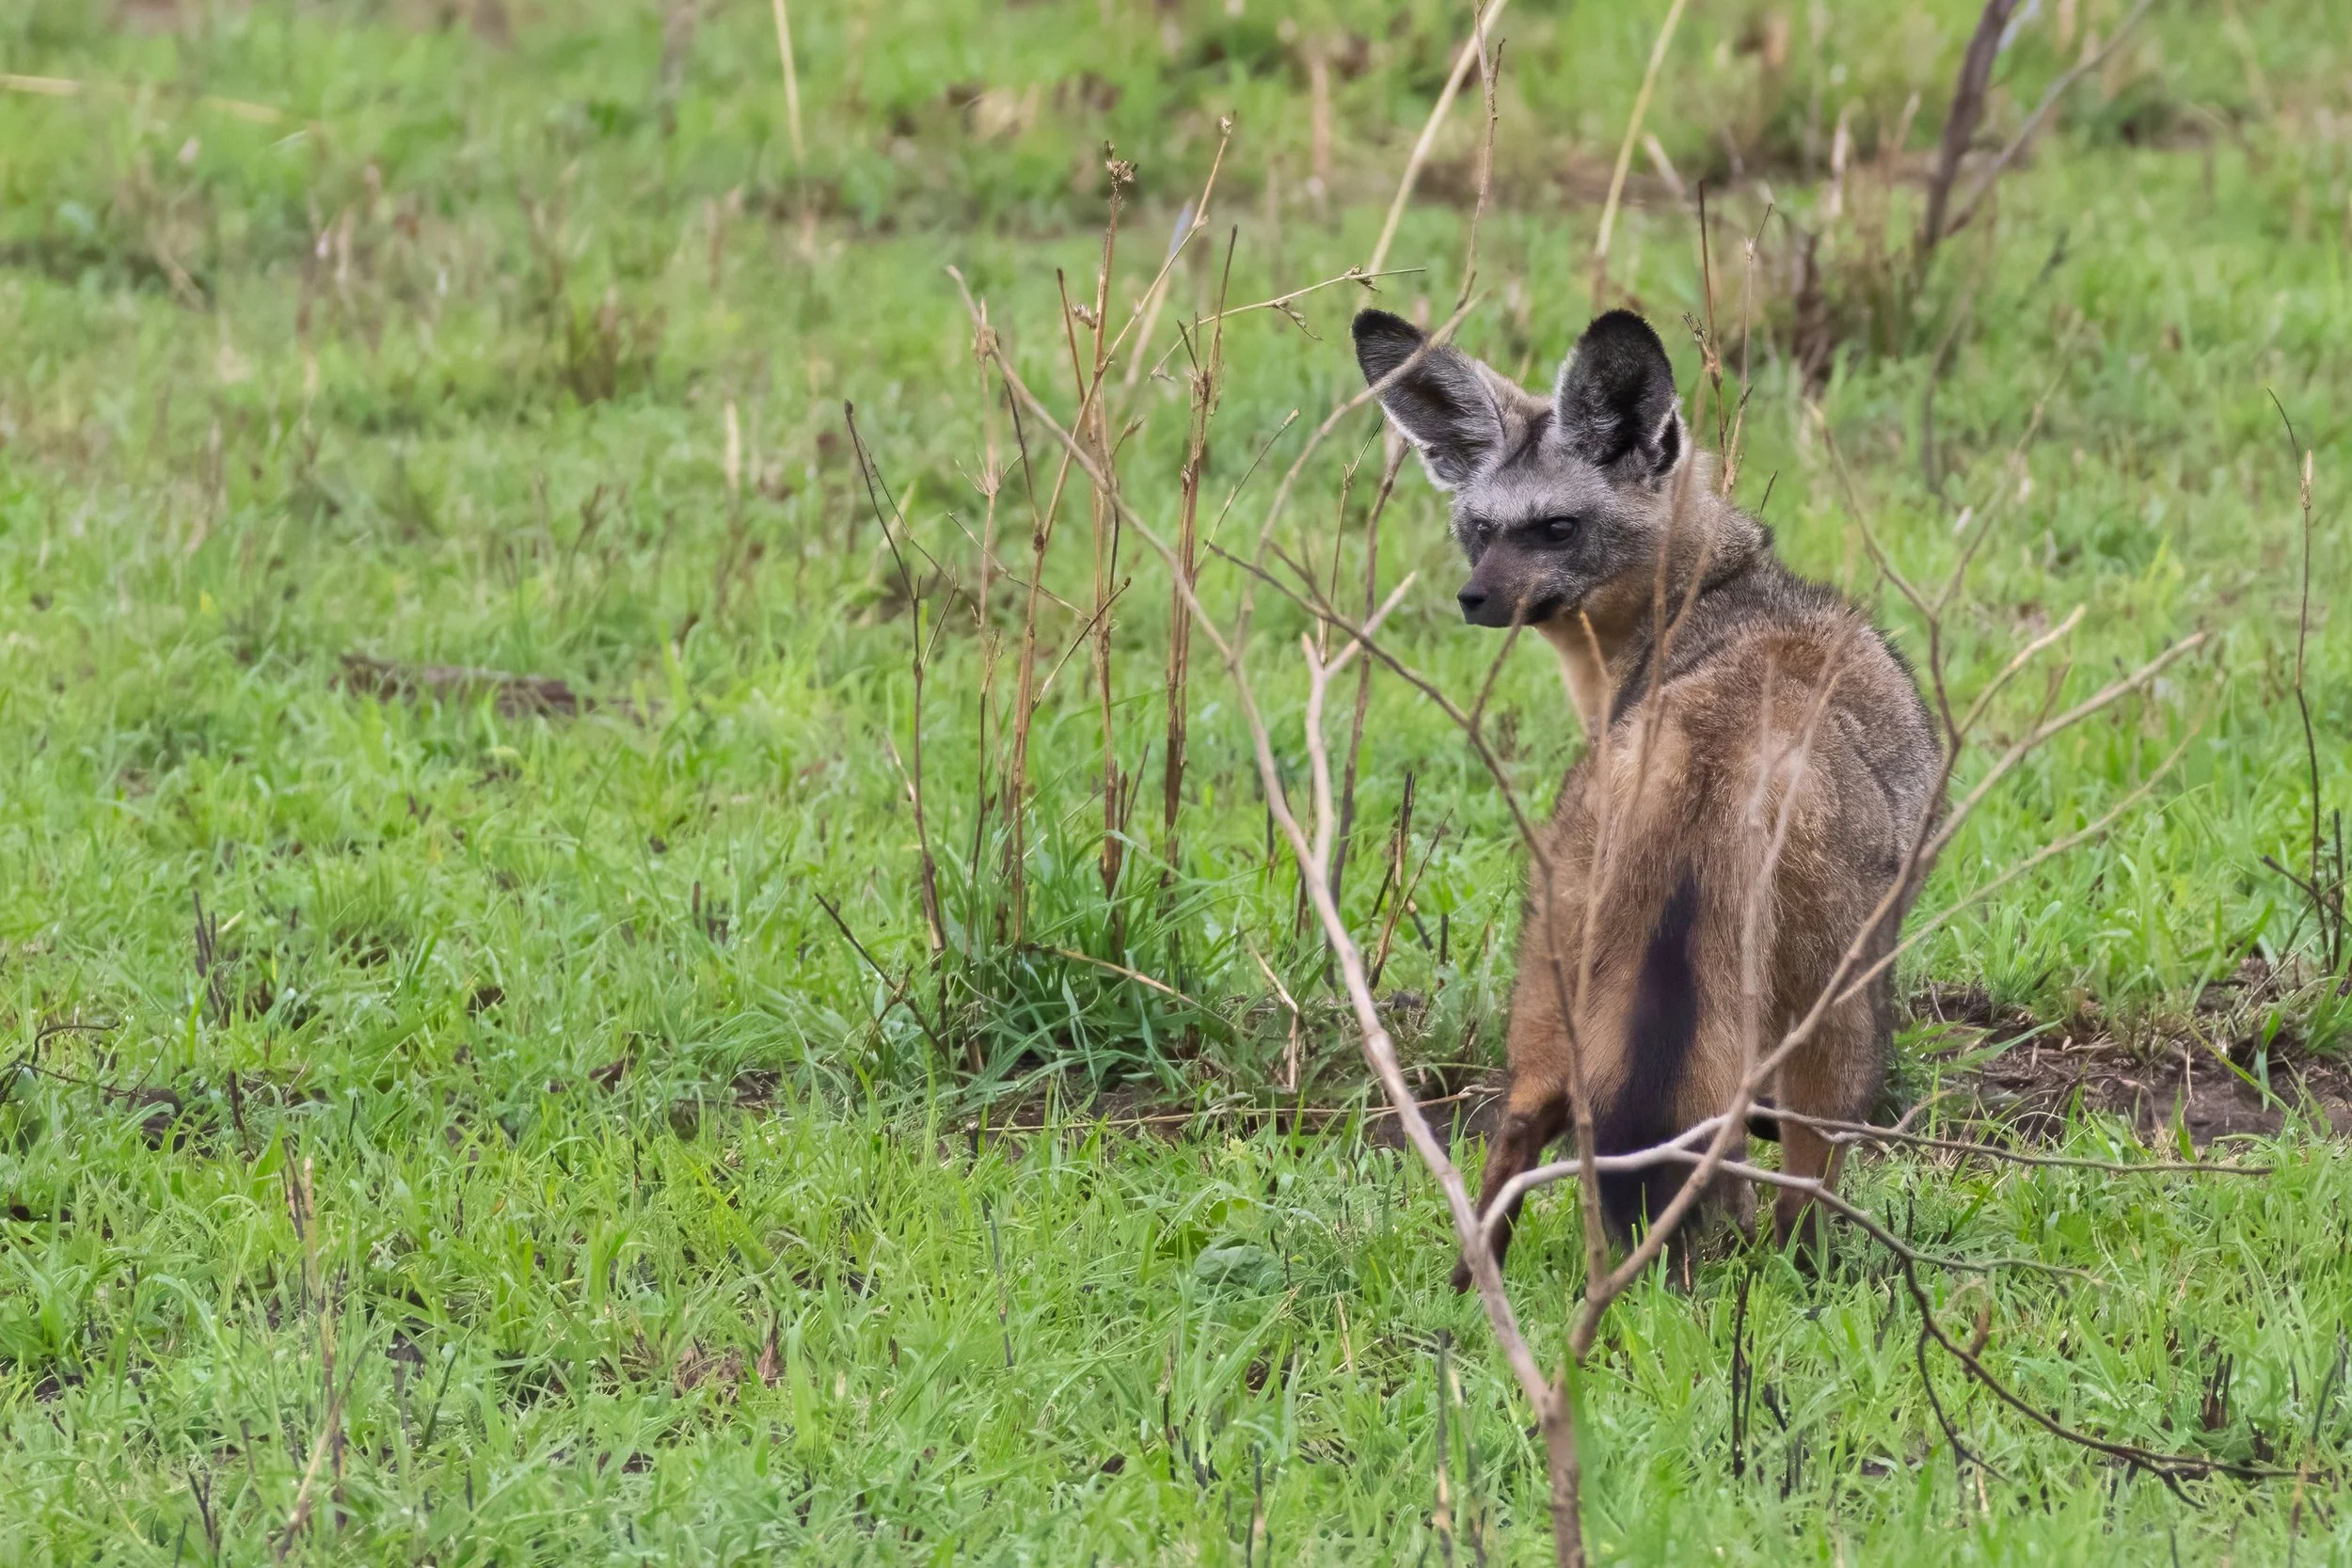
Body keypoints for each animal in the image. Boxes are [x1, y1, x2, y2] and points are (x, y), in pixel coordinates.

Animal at [1350, 307, 1941, 1286]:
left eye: (1556, 527)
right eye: (1480, 528)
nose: (1474, 598)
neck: (1706, 597)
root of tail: (1711, 752)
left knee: (1534, 1133)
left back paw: (1477, 1286)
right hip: (1833, 1015)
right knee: (1795, 1181)